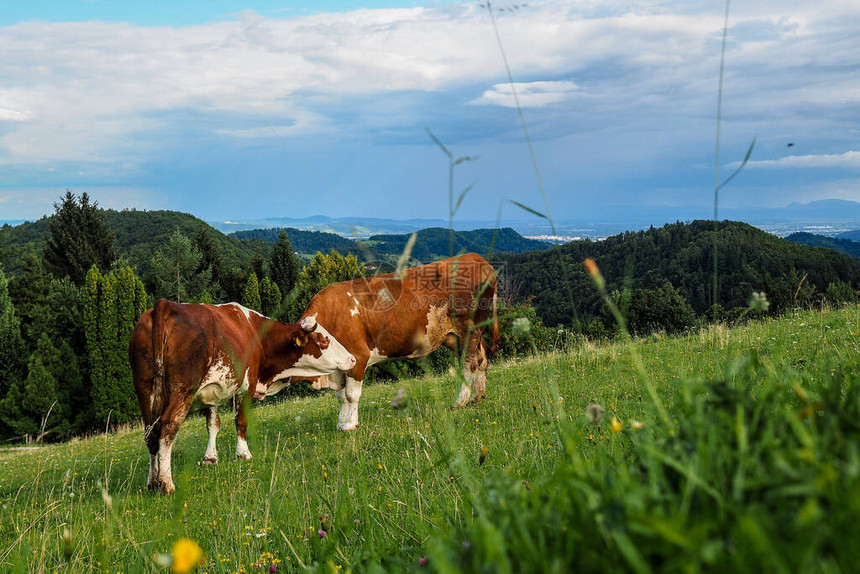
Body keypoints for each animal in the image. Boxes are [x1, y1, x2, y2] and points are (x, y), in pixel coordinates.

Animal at [128, 302, 356, 496]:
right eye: (324, 340)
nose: (352, 358)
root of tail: (164, 305)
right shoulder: (247, 386)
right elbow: (241, 421)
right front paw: (243, 454)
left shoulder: (212, 392)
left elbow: (213, 425)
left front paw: (210, 458)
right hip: (183, 390)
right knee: (167, 427)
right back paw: (166, 483)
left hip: (144, 389)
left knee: (150, 432)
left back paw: (152, 481)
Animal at [258, 254, 498, 430]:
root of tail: (477, 258)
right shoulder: (339, 366)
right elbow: (341, 397)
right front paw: (341, 423)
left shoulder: (358, 357)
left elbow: (351, 395)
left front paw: (351, 425)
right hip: (456, 336)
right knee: (482, 357)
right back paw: (478, 396)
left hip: (469, 329)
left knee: (470, 364)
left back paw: (460, 401)